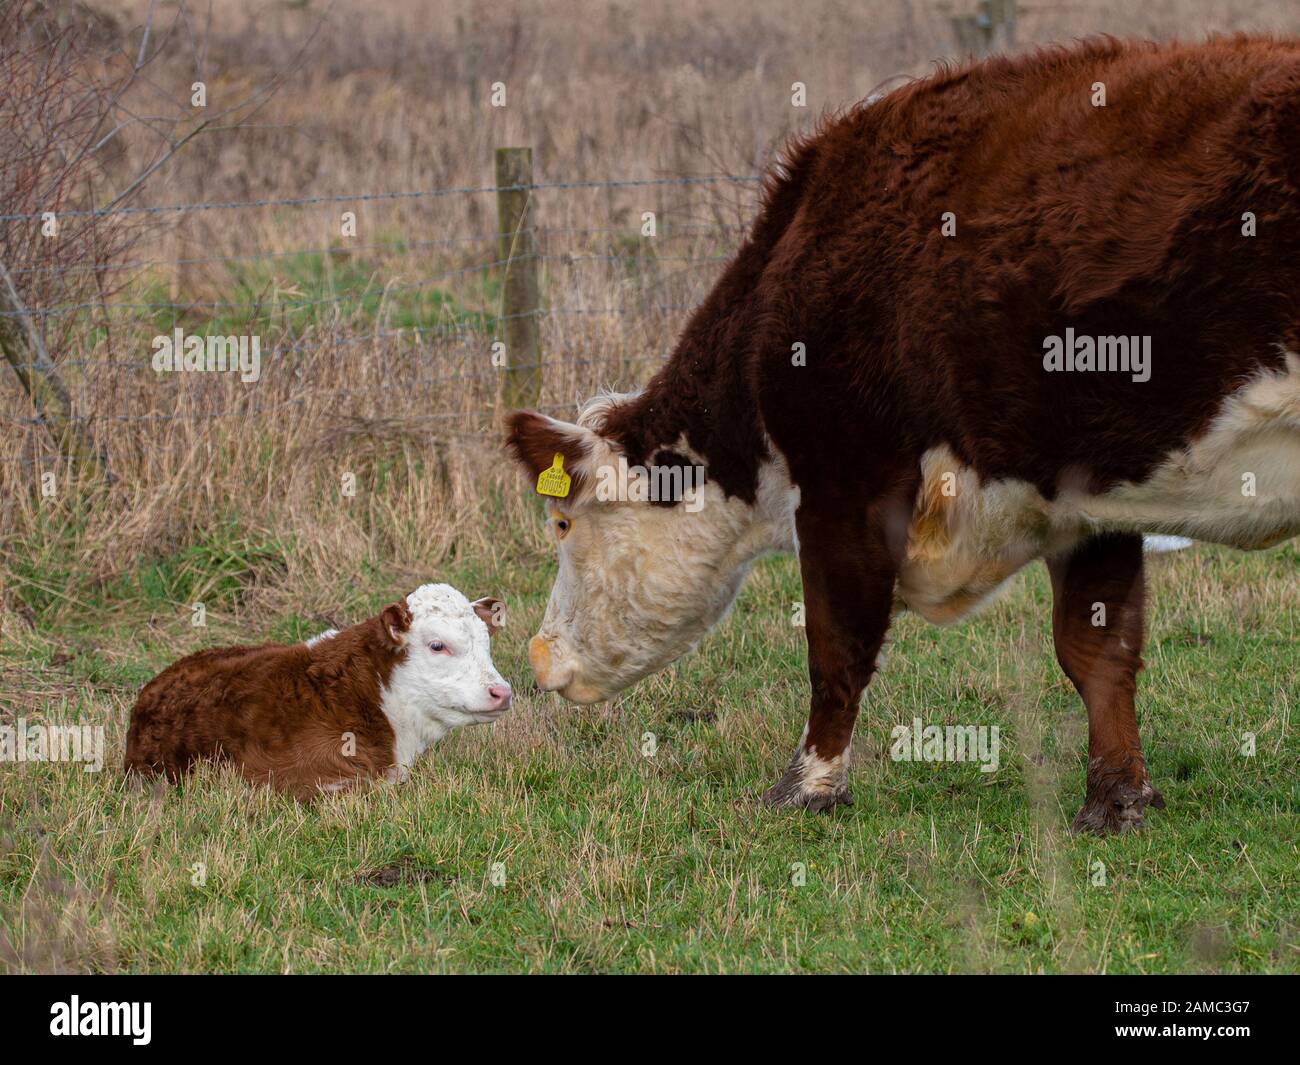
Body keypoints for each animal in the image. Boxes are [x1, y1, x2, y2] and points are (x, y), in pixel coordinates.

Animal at [506, 37, 1300, 834]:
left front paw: (808, 784)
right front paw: (1115, 799)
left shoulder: (847, 481)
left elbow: (838, 646)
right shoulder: (1086, 491)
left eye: (562, 522)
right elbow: (1097, 648)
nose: (538, 656)